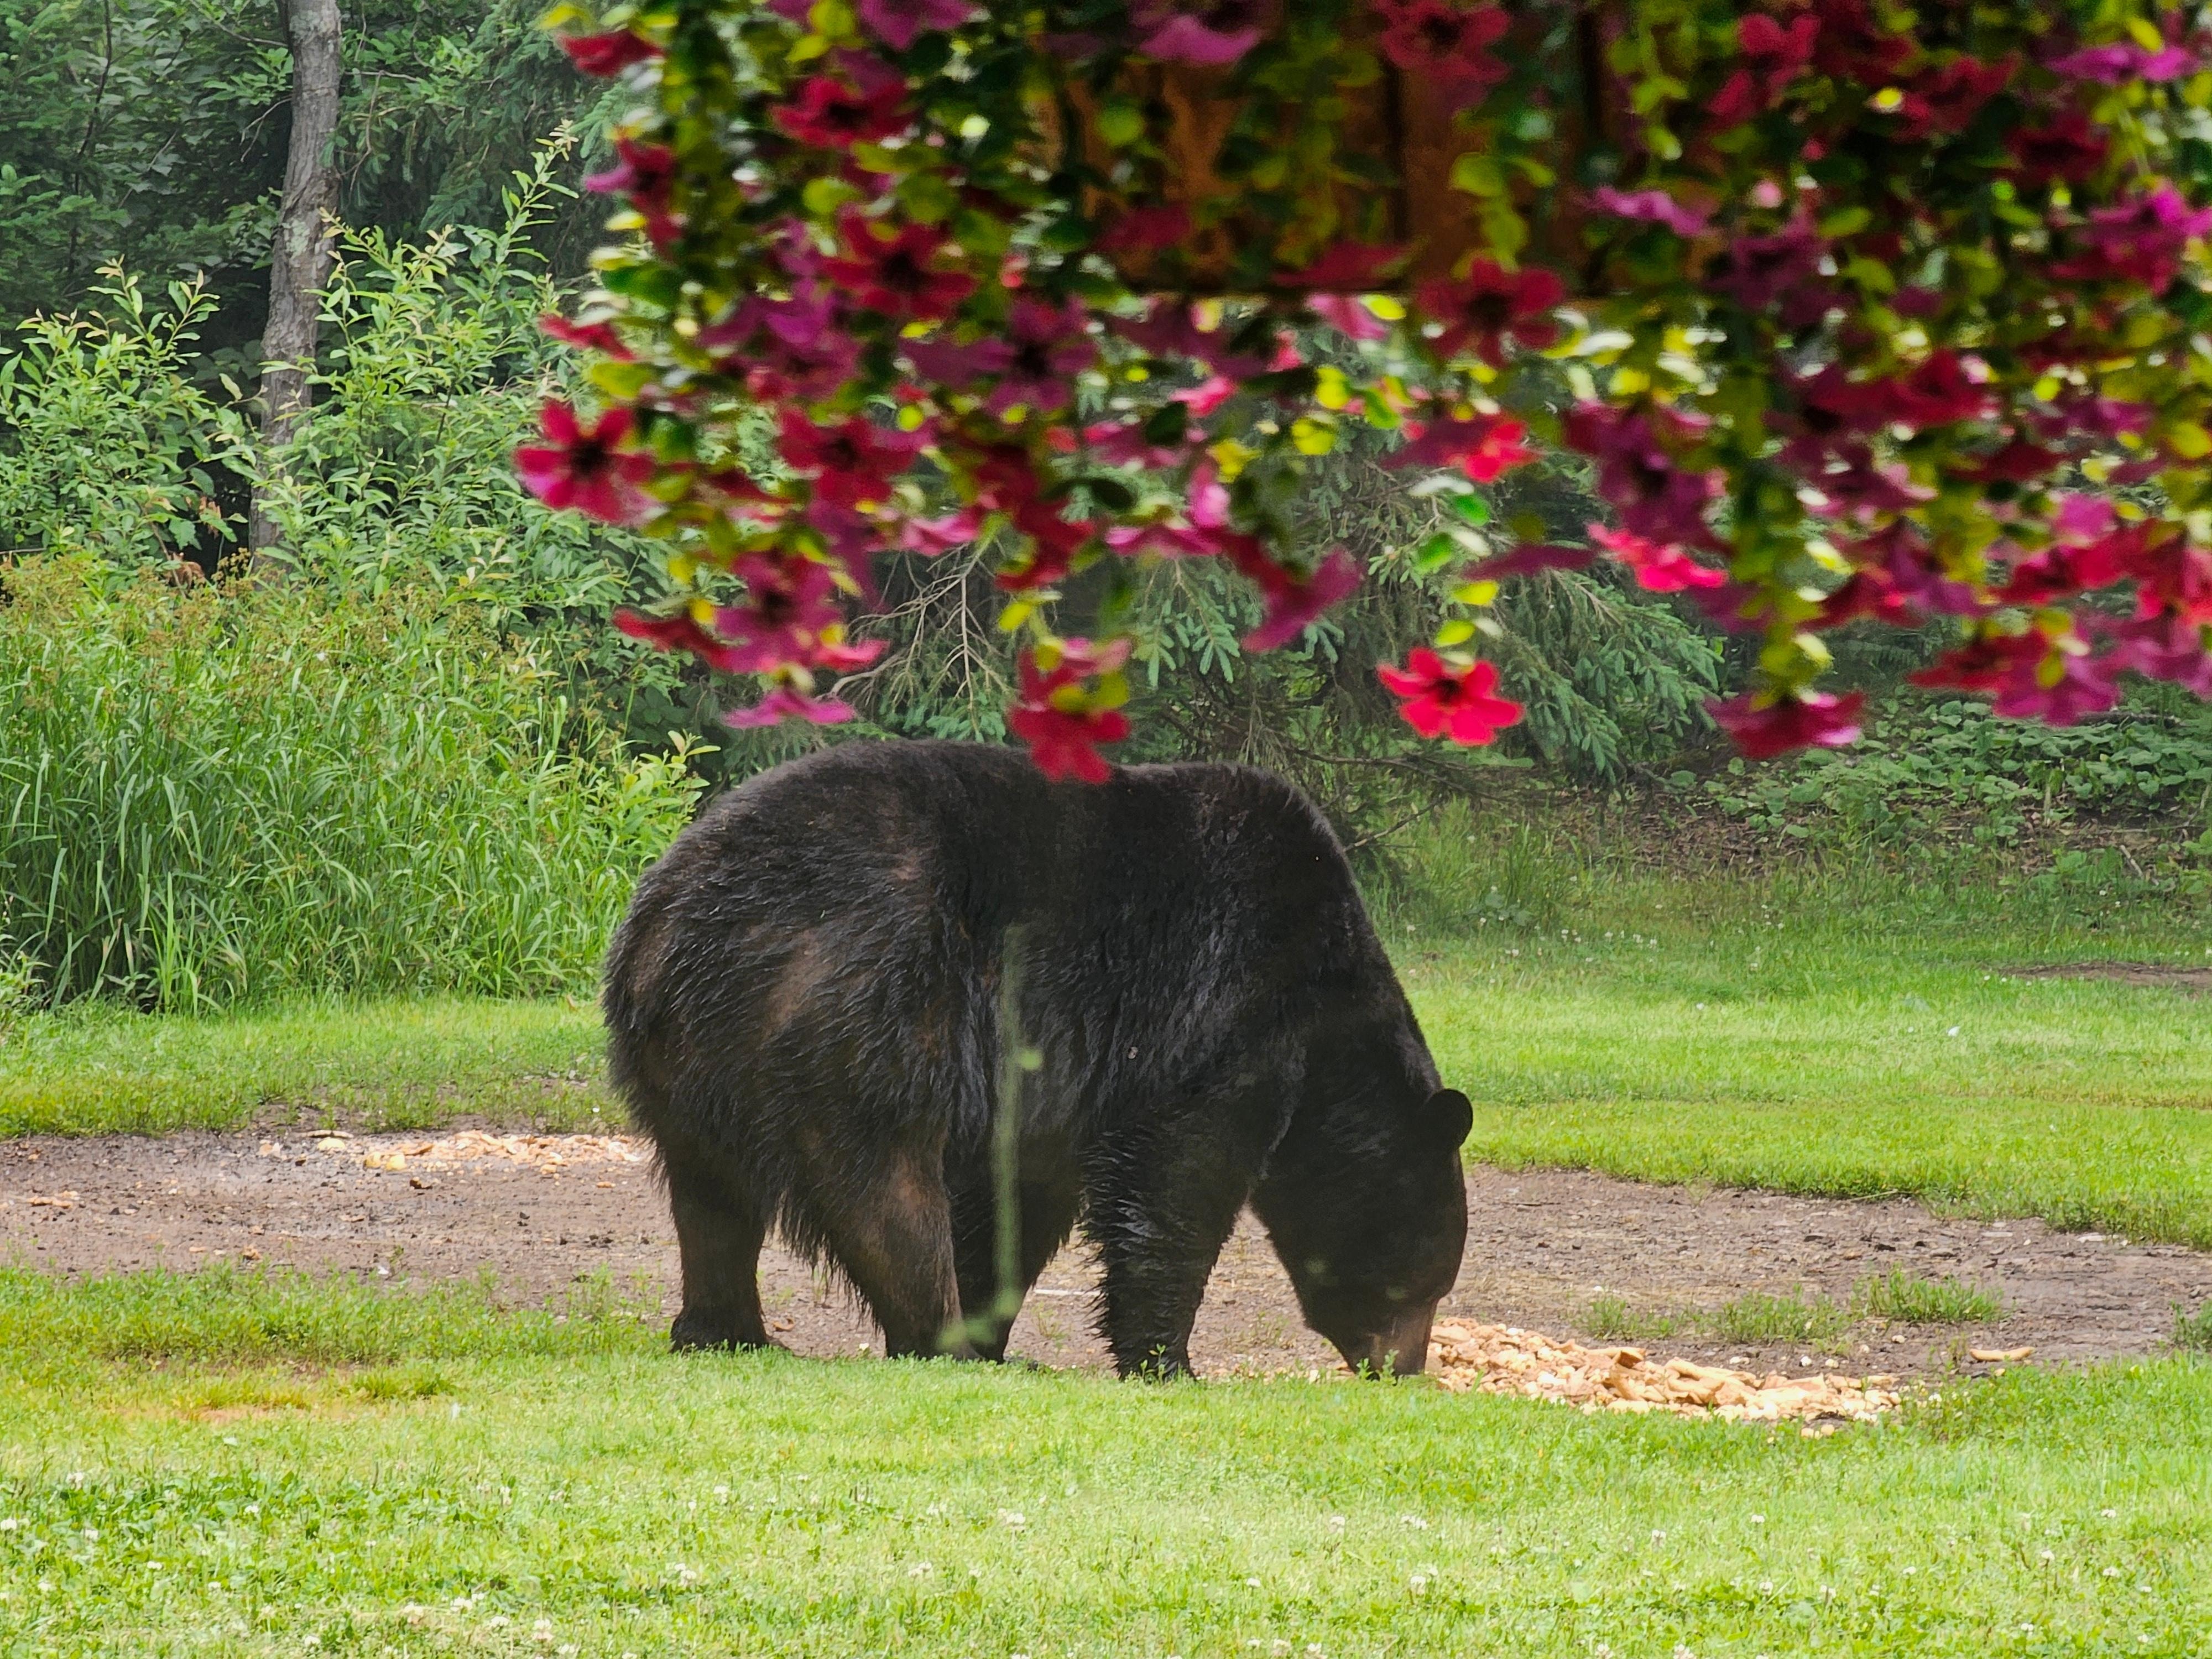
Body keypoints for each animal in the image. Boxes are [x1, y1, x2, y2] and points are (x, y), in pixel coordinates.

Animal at [602, 739, 1472, 1378]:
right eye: (1421, 1279)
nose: (1404, 1366)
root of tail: (667, 920)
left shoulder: (1054, 1087)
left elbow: (1016, 1192)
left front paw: (1001, 1319)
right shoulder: (1223, 1013)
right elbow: (1180, 1176)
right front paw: (1166, 1359)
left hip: (690, 1060)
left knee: (712, 1198)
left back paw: (724, 1328)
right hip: (853, 1013)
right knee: (884, 1190)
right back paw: (938, 1338)